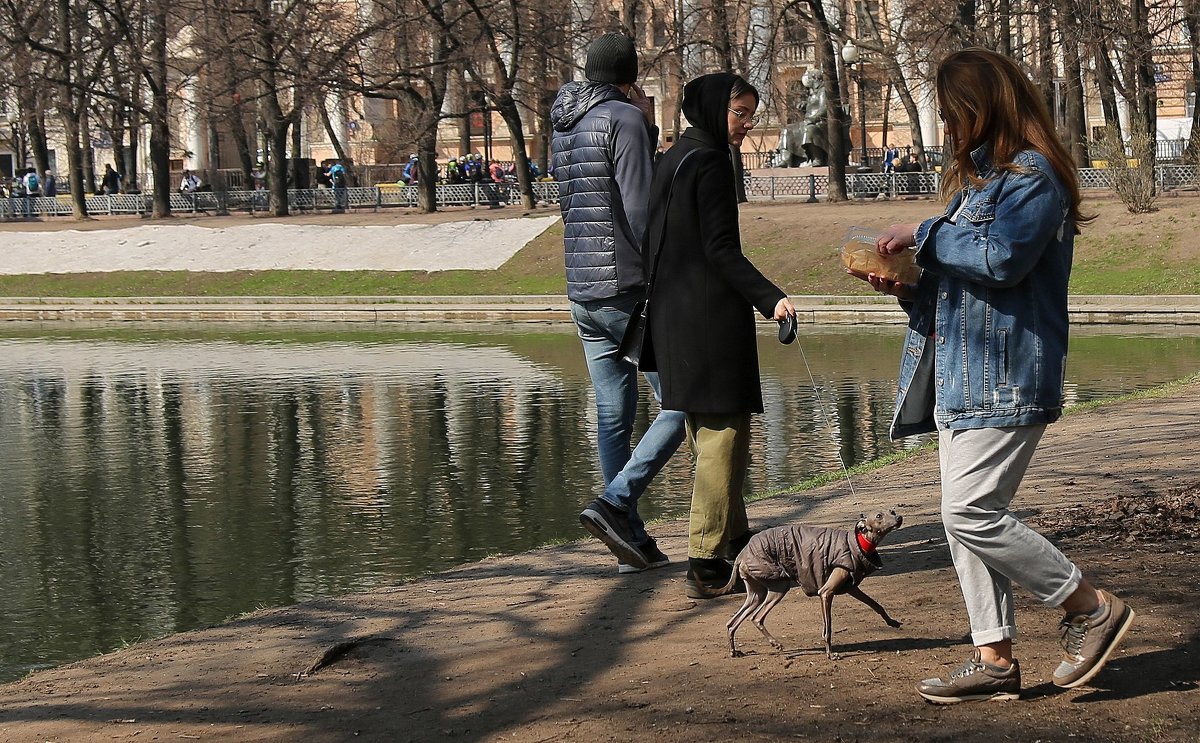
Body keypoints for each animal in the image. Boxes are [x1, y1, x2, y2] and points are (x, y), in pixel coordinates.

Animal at [700, 511, 902, 657]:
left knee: (732, 622)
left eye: (891, 511)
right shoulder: (826, 592)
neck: (858, 544)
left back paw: (734, 651)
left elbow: (876, 604)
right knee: (756, 618)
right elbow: (828, 629)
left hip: (756, 594)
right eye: (879, 516)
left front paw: (892, 622)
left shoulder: (852, 587)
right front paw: (830, 654)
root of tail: (741, 554)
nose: (899, 517)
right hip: (779, 586)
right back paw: (775, 644)